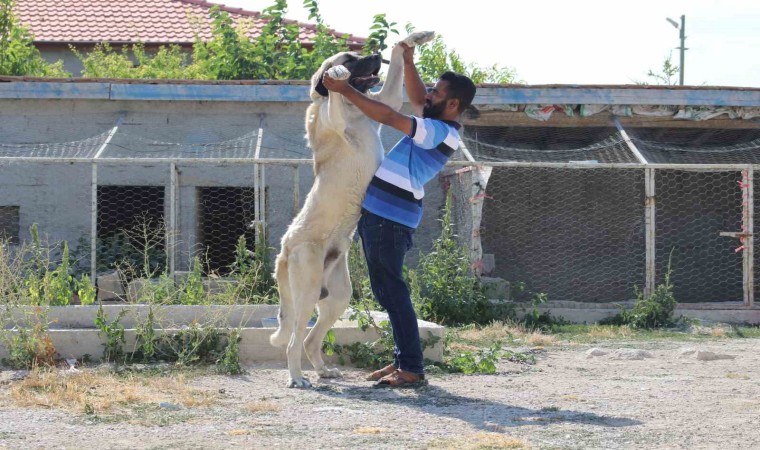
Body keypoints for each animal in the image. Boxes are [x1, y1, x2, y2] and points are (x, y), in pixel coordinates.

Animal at [268, 32, 434, 390]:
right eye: (348, 59)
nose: (373, 54)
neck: (354, 109)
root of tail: (285, 248)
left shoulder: (386, 102)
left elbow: (395, 72)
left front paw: (411, 41)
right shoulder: (335, 119)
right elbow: (332, 100)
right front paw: (337, 78)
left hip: (337, 297)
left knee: (310, 340)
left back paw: (323, 371)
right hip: (307, 290)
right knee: (293, 341)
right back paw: (297, 377)